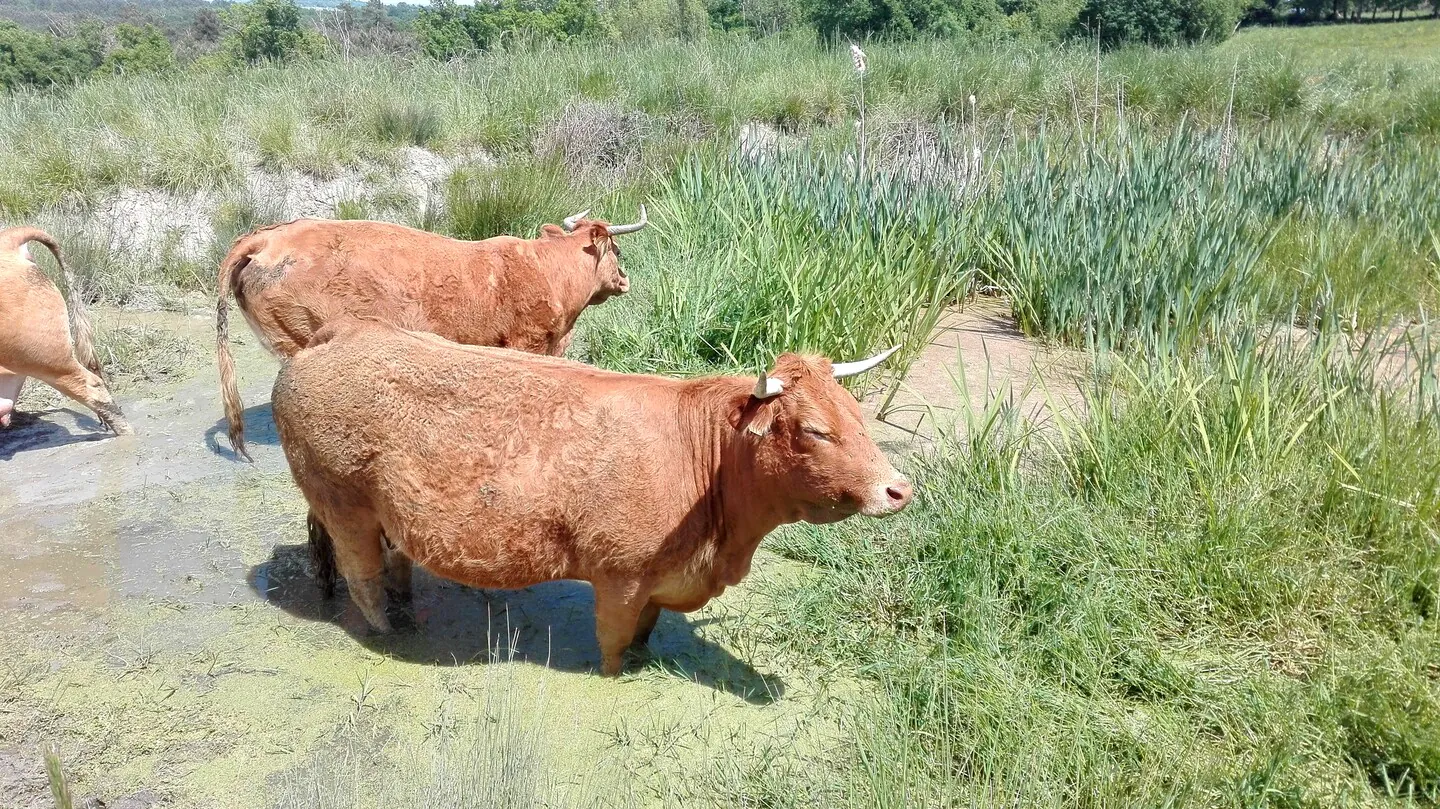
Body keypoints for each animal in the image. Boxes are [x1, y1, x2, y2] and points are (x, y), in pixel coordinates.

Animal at [270, 318, 910, 670]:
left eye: (857, 414)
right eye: (815, 430)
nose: (900, 489)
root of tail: (335, 335)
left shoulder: (659, 582)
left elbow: (645, 634)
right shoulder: (619, 578)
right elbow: (612, 646)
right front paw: (615, 673)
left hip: (383, 515)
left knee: (394, 563)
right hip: (342, 505)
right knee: (363, 578)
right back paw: (387, 632)